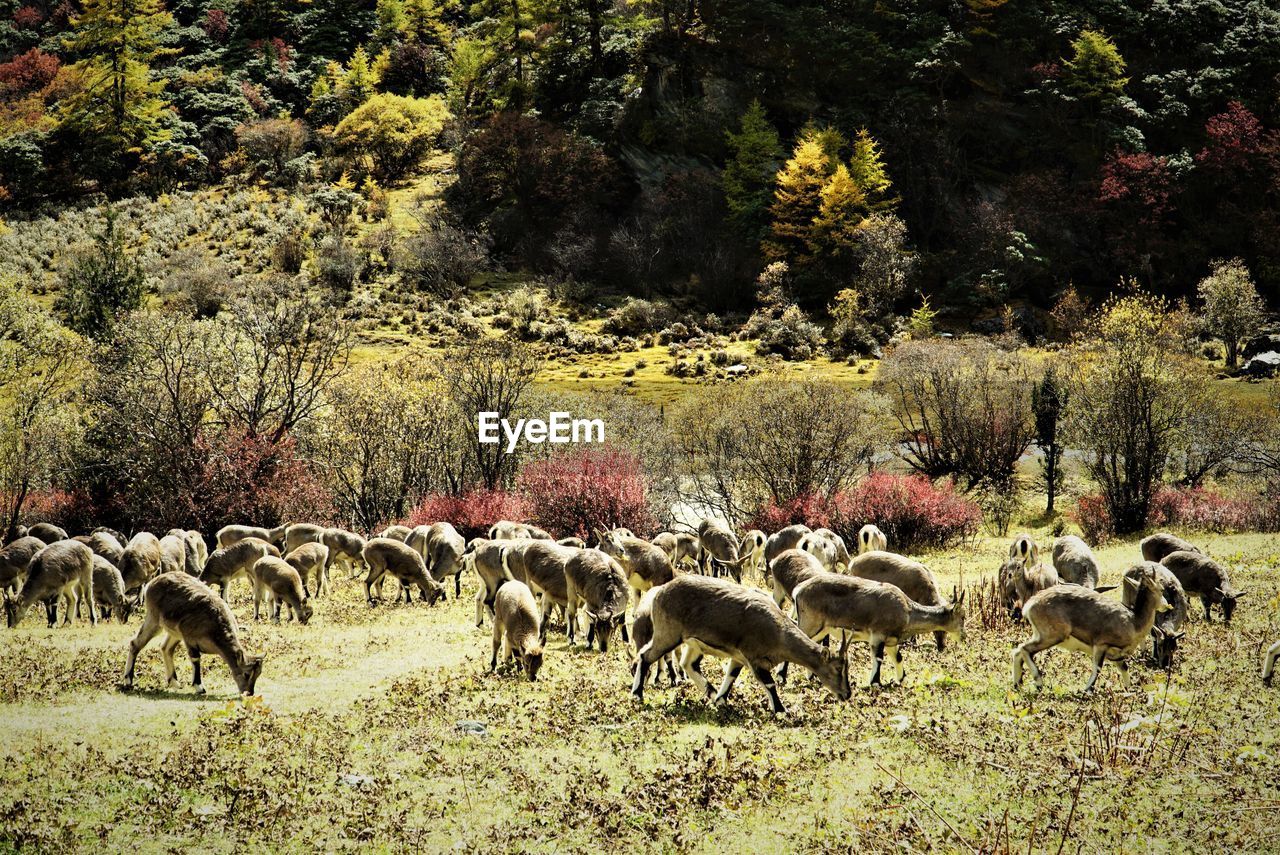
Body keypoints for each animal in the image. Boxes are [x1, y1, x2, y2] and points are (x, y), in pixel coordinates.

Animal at [120, 570, 262, 696]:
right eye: (246, 673)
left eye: (258, 674)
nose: (249, 693)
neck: (214, 628)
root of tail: (152, 583)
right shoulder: (189, 638)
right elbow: (195, 658)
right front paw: (199, 687)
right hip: (154, 619)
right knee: (136, 643)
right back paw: (128, 680)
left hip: (174, 632)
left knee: (166, 648)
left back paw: (174, 682)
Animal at [629, 573, 849, 716]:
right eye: (837, 668)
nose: (847, 694)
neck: (778, 631)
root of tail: (659, 592)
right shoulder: (753, 656)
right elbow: (769, 683)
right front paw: (781, 711)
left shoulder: (739, 657)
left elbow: (731, 676)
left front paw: (720, 700)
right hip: (668, 634)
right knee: (645, 656)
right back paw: (637, 695)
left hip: (693, 643)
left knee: (689, 664)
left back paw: (710, 691)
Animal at [793, 573, 962, 686]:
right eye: (962, 617)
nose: (963, 637)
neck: (907, 611)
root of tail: (799, 590)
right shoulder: (878, 635)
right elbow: (878, 658)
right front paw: (875, 682)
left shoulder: (891, 641)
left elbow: (898, 657)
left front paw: (901, 679)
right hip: (810, 624)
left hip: (821, 629)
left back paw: (812, 677)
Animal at [1013, 560, 1172, 696]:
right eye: (1161, 589)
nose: (1166, 606)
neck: (1134, 621)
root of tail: (1030, 605)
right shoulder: (1101, 645)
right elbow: (1097, 668)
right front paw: (1087, 690)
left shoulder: (1116, 655)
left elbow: (1124, 668)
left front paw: (1129, 690)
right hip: (1051, 636)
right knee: (1024, 649)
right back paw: (1039, 682)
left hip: (1040, 635)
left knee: (1017, 651)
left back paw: (1017, 684)